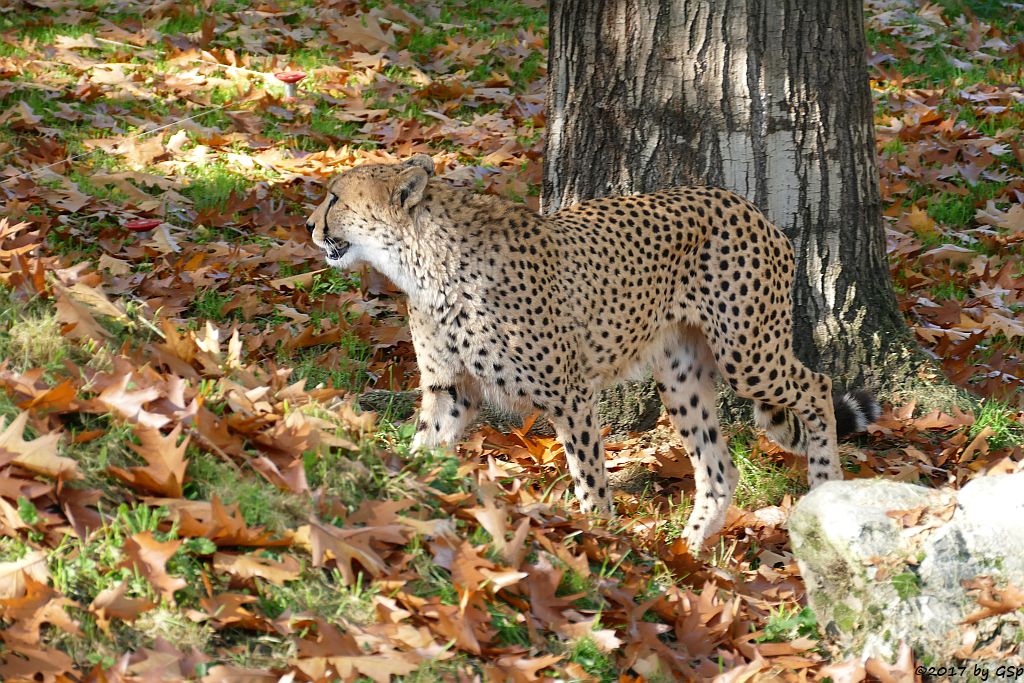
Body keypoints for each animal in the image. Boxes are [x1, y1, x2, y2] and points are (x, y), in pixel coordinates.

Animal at [305, 154, 880, 548]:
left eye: (334, 197)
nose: (309, 226)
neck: (423, 263)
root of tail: (750, 208)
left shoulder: (571, 395)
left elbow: (589, 479)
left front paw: (600, 541)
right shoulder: (452, 389)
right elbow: (423, 447)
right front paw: (396, 490)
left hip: (747, 353)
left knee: (817, 386)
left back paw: (825, 489)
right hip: (681, 373)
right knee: (719, 470)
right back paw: (687, 555)